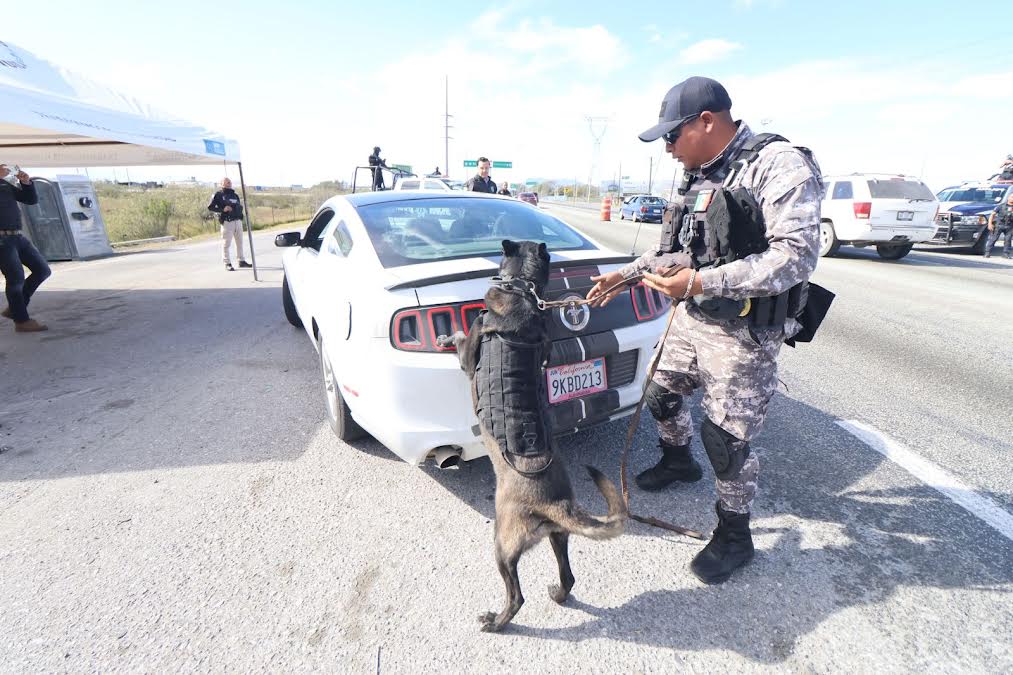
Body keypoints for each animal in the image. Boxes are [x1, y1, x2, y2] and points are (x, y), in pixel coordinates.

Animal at [441, 239, 628, 628]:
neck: (522, 290)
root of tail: (555, 503)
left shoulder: (469, 358)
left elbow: (464, 334)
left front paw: (448, 333)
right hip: (558, 536)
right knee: (568, 576)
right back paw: (558, 595)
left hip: (503, 545)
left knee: (516, 597)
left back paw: (496, 622)